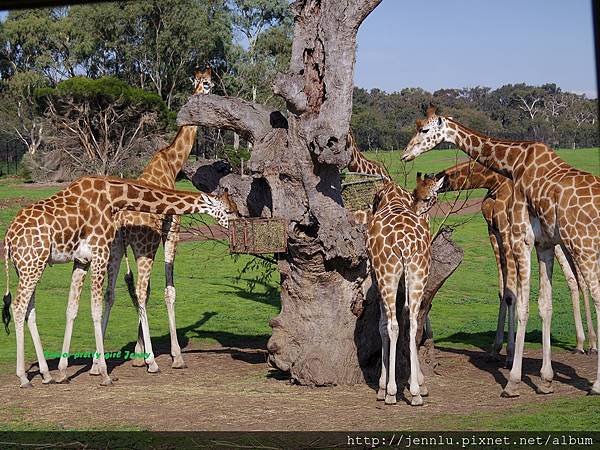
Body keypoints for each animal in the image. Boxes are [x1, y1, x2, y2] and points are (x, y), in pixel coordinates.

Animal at [2, 176, 237, 386]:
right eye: (229, 210)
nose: (237, 222)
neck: (114, 197)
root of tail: (8, 239)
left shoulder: (82, 260)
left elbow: (72, 308)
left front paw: (62, 371)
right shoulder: (100, 251)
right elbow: (95, 309)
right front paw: (105, 374)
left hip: (30, 267)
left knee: (29, 310)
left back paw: (45, 374)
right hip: (31, 265)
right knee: (18, 306)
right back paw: (23, 378)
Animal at [84, 66, 213, 376]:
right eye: (204, 83)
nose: (210, 88)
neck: (172, 164)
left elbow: (148, 289)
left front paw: (136, 352)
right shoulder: (172, 230)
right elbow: (168, 290)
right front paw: (174, 355)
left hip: (117, 246)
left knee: (111, 292)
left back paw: (96, 363)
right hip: (143, 245)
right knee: (140, 292)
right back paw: (153, 362)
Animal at [366, 174, 446, 406]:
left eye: (429, 198)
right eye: (416, 195)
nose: (420, 211)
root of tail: (405, 244)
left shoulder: (377, 277)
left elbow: (383, 325)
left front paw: (382, 386)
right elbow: (407, 316)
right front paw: (418, 383)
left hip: (387, 273)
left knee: (393, 325)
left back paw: (392, 392)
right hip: (417, 271)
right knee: (413, 322)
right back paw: (416, 393)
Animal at [432, 160, 596, 364]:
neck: (494, 182)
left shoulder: (507, 232)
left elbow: (512, 294)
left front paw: (510, 354)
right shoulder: (493, 233)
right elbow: (504, 291)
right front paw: (495, 349)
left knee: (583, 281)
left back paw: (592, 345)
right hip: (559, 243)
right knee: (573, 280)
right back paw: (580, 345)